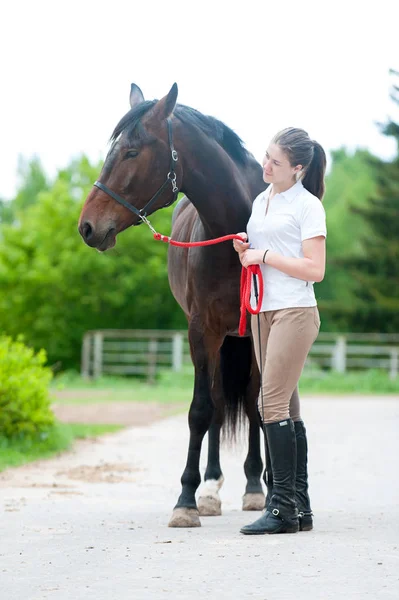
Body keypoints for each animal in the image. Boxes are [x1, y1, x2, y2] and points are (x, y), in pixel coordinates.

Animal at [78, 83, 268, 524]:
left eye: (131, 152)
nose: (87, 226)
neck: (234, 233)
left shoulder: (257, 329)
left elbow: (254, 404)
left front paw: (253, 487)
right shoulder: (202, 331)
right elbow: (201, 410)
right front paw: (187, 499)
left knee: (246, 402)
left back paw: (252, 485)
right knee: (218, 403)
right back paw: (211, 489)